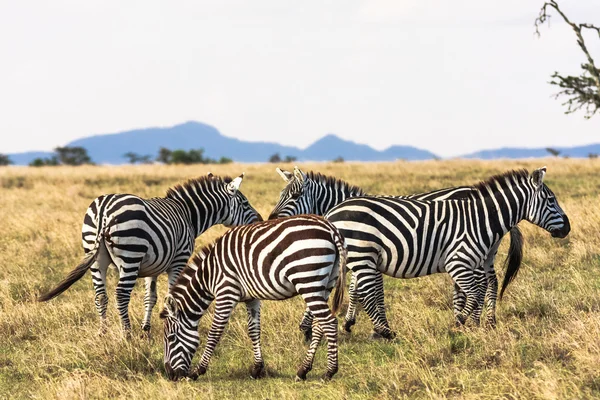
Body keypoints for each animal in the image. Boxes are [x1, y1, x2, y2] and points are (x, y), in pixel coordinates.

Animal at [37, 173, 262, 332]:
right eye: (245, 203)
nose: (260, 220)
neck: (188, 215)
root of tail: (103, 210)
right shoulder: (178, 260)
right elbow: (171, 294)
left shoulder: (152, 265)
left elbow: (150, 297)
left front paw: (146, 329)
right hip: (130, 256)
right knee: (121, 295)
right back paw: (126, 334)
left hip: (95, 256)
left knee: (100, 295)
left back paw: (103, 333)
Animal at [159, 216, 346, 382]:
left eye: (171, 338)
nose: (170, 376)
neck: (209, 274)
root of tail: (330, 228)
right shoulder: (252, 298)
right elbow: (253, 330)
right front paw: (257, 369)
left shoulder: (226, 292)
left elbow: (214, 333)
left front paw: (198, 371)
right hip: (326, 284)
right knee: (320, 325)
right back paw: (303, 371)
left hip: (308, 280)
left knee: (329, 322)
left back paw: (329, 372)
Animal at [270, 166, 524, 338]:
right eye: (281, 195)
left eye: (294, 196)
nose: (271, 219)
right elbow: (357, 289)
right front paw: (353, 322)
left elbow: (360, 290)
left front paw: (321, 325)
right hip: (486, 251)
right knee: (491, 281)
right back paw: (485, 320)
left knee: (483, 282)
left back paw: (476, 320)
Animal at [324, 166, 572, 338]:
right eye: (551, 200)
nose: (568, 228)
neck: (479, 218)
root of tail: (333, 212)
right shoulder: (458, 262)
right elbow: (474, 294)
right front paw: (461, 321)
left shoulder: (464, 263)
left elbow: (475, 292)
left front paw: (464, 321)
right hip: (362, 254)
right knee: (366, 292)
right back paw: (385, 332)